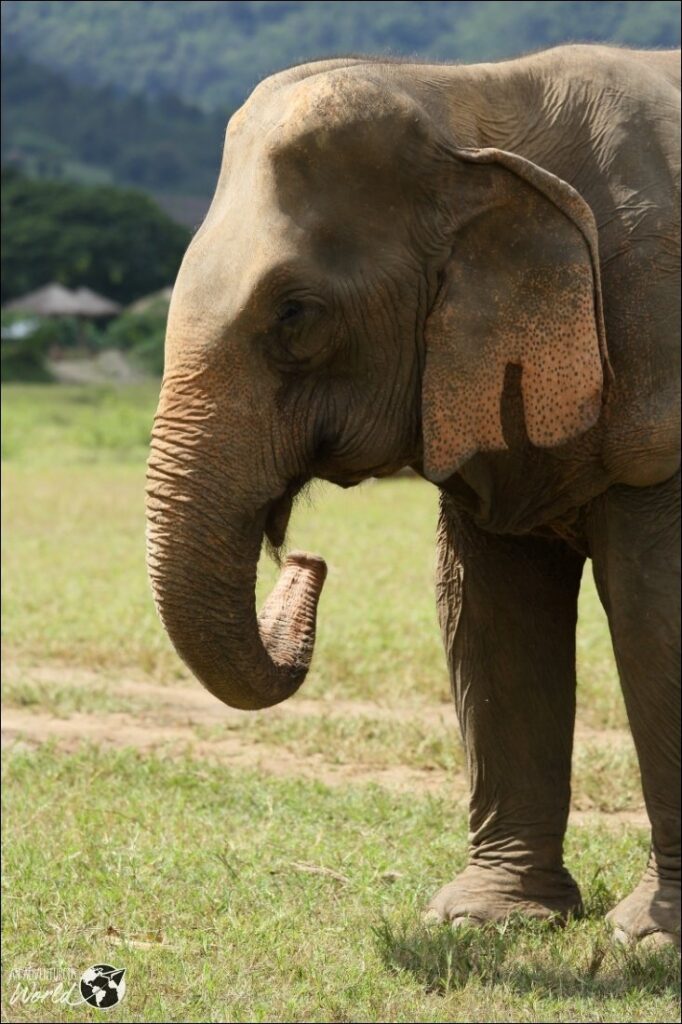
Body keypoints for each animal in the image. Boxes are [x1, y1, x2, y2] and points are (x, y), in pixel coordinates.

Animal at [146, 46, 675, 942]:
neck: (468, 95)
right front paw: (486, 921)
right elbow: (486, 617)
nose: (309, 560)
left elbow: (653, 619)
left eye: (295, 315)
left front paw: (650, 934)